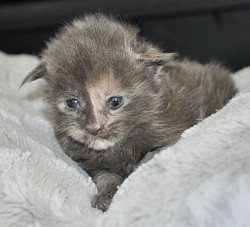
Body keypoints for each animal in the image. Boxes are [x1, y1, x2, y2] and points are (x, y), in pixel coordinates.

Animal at [20, 14, 237, 211]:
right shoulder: (91, 163)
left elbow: (146, 162)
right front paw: (106, 196)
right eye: (72, 103)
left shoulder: (172, 135)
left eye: (115, 102)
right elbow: (105, 176)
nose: (94, 128)